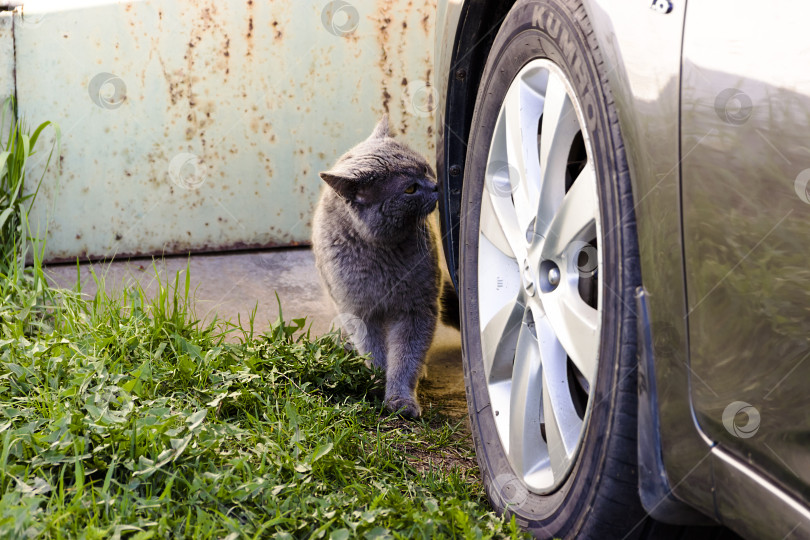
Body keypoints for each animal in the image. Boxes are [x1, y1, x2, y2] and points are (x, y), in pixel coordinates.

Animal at [312, 115, 438, 418]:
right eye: (409, 189)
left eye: (425, 168)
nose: (437, 186)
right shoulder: (358, 311)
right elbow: (375, 350)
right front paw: (377, 381)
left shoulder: (418, 307)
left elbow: (406, 356)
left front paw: (400, 399)